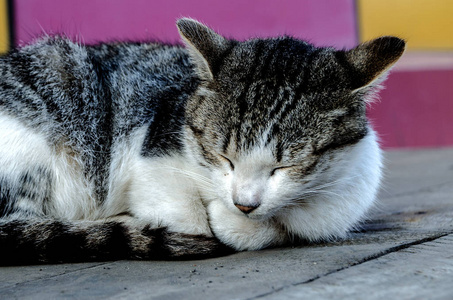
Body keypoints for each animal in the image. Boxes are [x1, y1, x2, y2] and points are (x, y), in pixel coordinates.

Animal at [0, 17, 404, 264]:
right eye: (223, 157)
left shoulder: (350, 189)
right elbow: (188, 217)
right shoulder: (153, 151)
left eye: (284, 166)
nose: (244, 203)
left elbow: (299, 223)